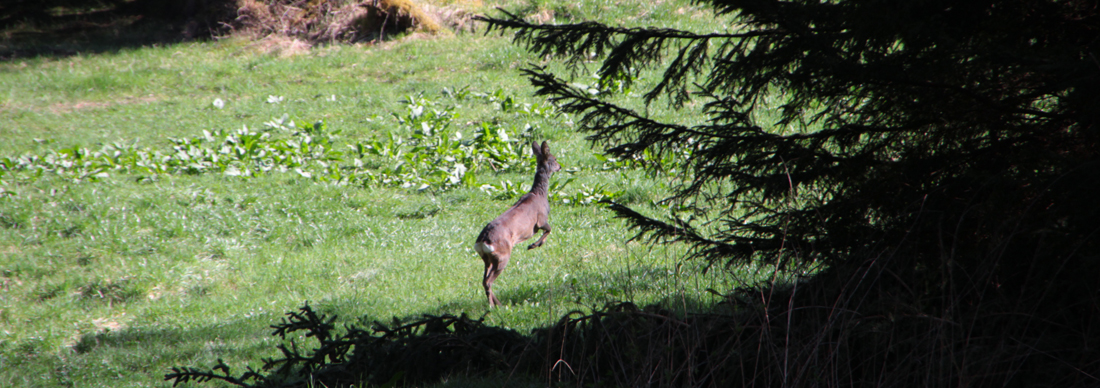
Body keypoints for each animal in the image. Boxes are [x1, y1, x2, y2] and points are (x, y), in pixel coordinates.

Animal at [470, 140, 558, 307]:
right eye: (554, 159)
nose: (560, 166)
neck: (539, 194)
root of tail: (483, 241)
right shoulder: (541, 219)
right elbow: (549, 229)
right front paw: (533, 245)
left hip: (486, 258)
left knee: (484, 280)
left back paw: (498, 303)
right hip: (502, 255)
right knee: (488, 281)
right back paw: (493, 306)